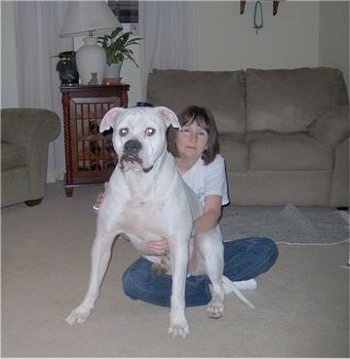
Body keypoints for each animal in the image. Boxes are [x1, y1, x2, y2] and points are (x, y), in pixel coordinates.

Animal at [65, 105, 227, 338]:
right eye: (123, 131)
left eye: (150, 131)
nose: (132, 145)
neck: (140, 182)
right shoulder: (103, 241)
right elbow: (94, 283)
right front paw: (83, 310)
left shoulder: (178, 242)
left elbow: (177, 294)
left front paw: (178, 322)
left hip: (207, 244)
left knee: (217, 285)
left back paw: (215, 304)